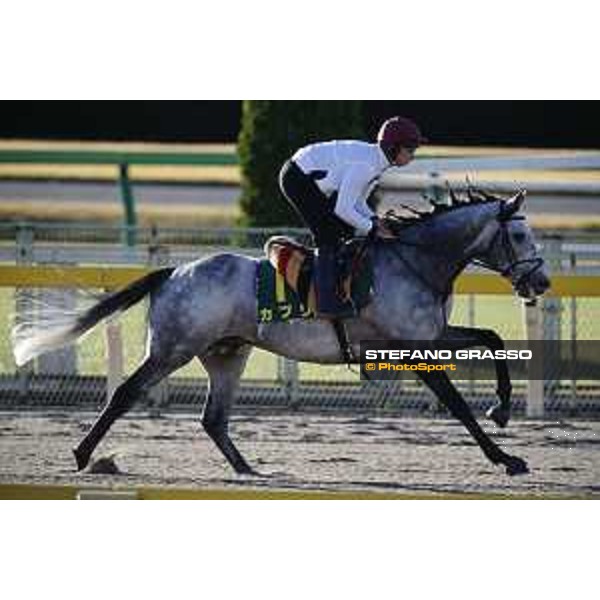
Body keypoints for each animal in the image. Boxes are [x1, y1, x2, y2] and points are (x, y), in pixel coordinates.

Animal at [11, 190, 552, 476]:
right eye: (519, 235)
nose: (542, 282)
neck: (413, 260)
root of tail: (174, 272)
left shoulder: (433, 334)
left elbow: (492, 340)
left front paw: (503, 409)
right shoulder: (410, 348)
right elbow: (458, 404)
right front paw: (505, 457)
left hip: (227, 353)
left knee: (213, 417)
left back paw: (247, 469)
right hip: (174, 349)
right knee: (126, 393)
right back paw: (83, 453)